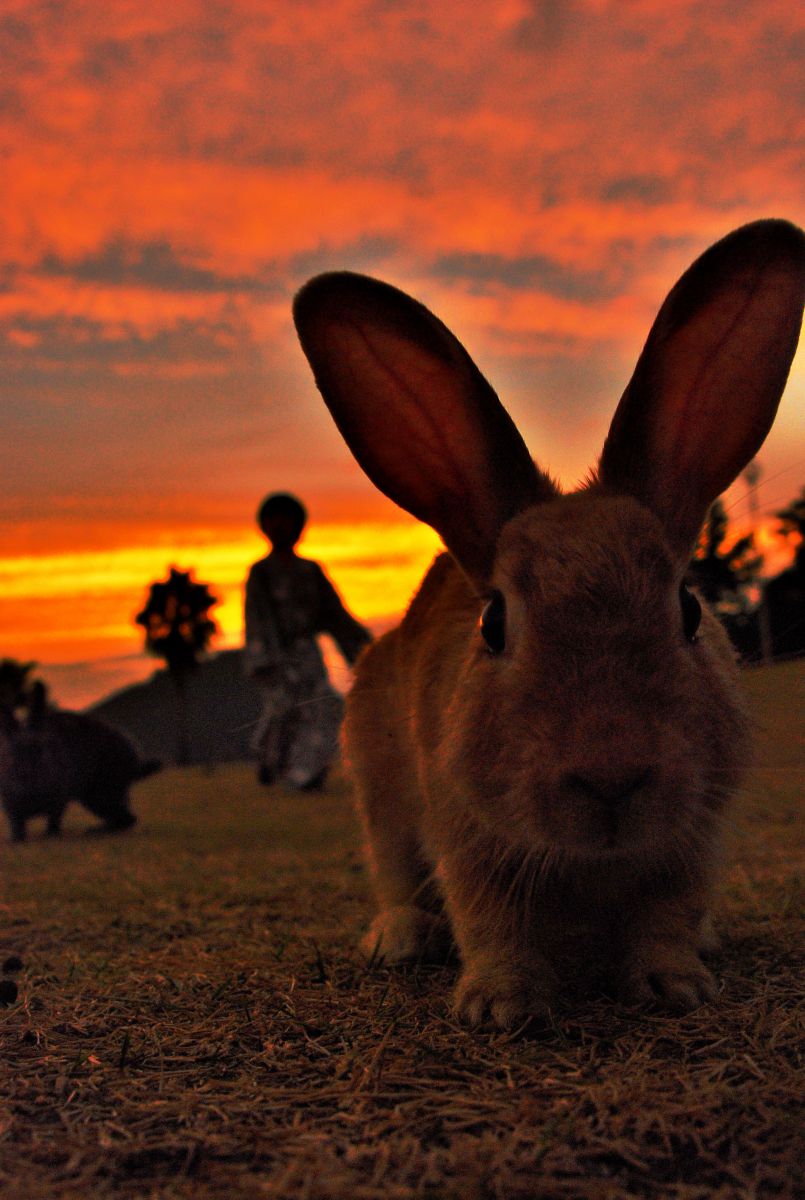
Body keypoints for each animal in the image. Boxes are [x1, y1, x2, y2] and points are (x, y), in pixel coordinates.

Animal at [293, 220, 805, 1027]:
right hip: (377, 792)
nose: (611, 775)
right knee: (397, 875)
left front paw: (674, 984)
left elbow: (667, 915)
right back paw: (401, 939)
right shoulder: (466, 834)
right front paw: (503, 1005)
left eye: (688, 609)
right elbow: (490, 919)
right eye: (494, 623)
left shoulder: (693, 842)